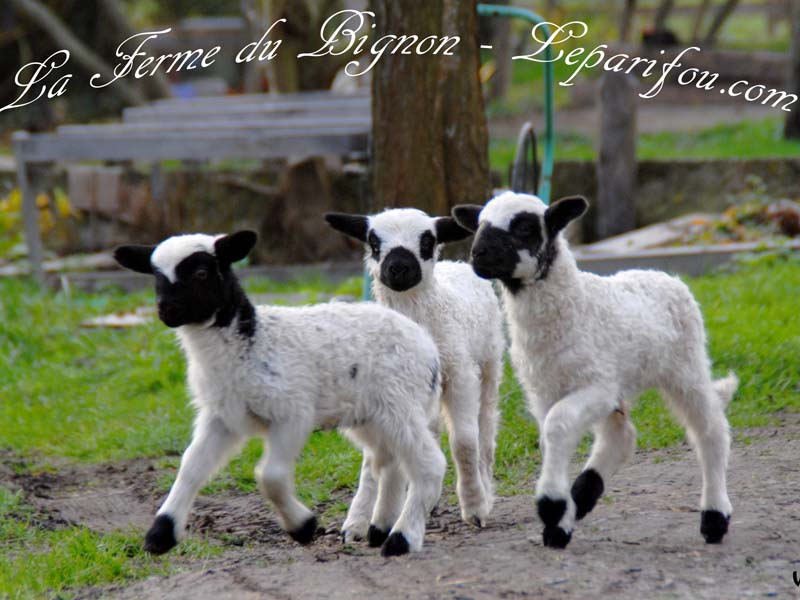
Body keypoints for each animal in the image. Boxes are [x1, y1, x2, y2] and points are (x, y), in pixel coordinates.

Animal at [111, 231, 446, 556]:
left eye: (201, 272)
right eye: (156, 277)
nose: (166, 311)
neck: (250, 340)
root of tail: (425, 342)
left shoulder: (292, 412)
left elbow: (269, 476)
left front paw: (303, 527)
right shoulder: (222, 417)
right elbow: (190, 467)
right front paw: (160, 535)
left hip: (400, 400)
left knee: (428, 464)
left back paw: (401, 539)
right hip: (369, 414)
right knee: (387, 461)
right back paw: (380, 528)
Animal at [324, 209, 504, 536]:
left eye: (427, 241)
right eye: (373, 242)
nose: (398, 268)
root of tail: (456, 264)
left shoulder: (460, 375)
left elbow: (463, 443)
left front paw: (474, 507)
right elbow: (372, 457)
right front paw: (357, 521)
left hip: (488, 365)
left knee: (484, 432)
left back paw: (484, 489)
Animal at [450, 195, 736, 552]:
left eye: (526, 227)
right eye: (479, 225)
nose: (478, 254)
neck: (573, 306)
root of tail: (663, 275)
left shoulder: (597, 386)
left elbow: (557, 427)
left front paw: (551, 507)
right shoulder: (545, 391)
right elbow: (550, 436)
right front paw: (558, 522)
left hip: (685, 365)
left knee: (710, 429)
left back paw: (715, 518)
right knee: (621, 436)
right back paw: (583, 497)